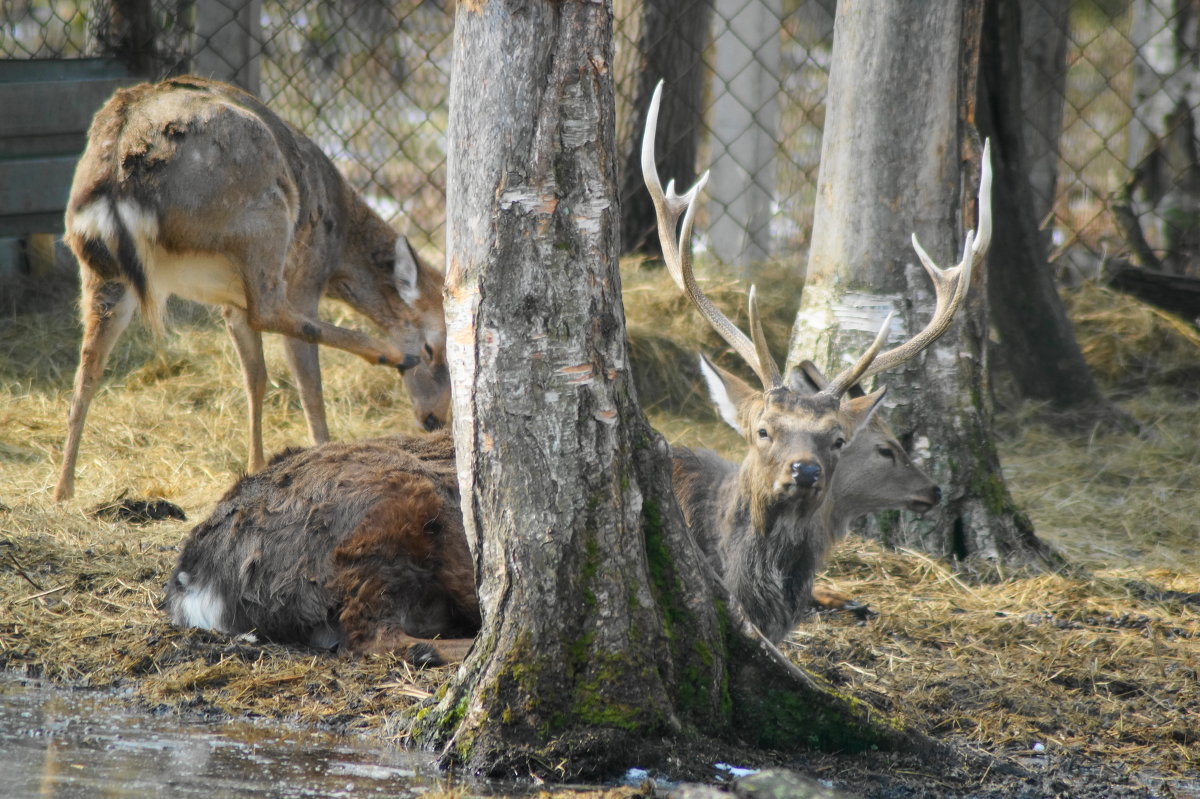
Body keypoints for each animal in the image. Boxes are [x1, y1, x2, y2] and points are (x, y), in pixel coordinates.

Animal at [52, 76, 451, 499]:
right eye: (431, 348)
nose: (434, 419)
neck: (339, 246)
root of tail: (115, 172)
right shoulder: (304, 280)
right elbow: (309, 382)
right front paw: (322, 447)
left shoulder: (231, 303)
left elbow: (255, 376)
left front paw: (256, 464)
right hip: (262, 218)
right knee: (270, 310)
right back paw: (387, 353)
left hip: (102, 270)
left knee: (88, 366)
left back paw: (63, 489)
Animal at [159, 80, 988, 657]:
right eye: (762, 429)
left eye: (839, 440)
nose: (804, 472)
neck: (745, 572)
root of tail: (198, 572)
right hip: (376, 532)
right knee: (380, 636)